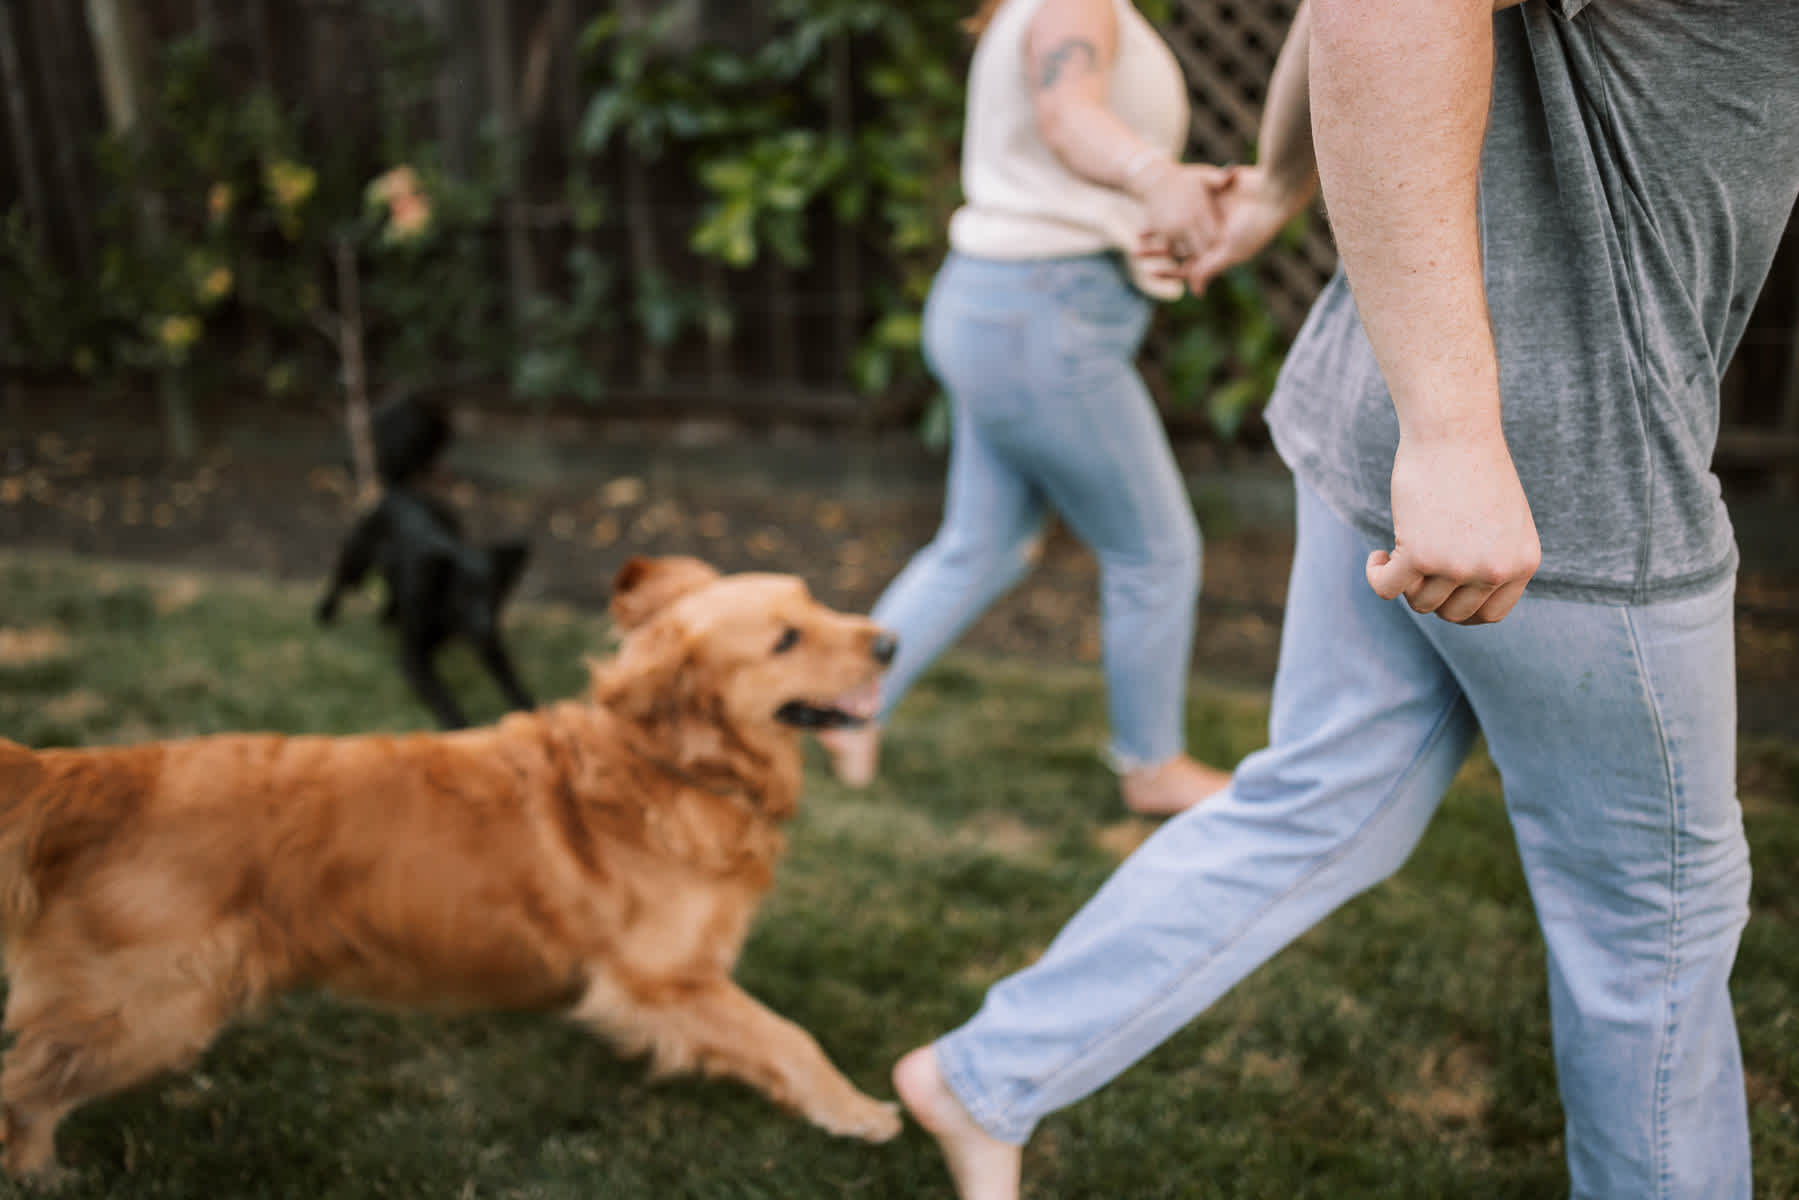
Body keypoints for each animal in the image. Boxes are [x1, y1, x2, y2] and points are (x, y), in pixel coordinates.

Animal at [316, 399, 532, 726]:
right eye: (463, 594)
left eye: (494, 595)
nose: (485, 627)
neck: (445, 614)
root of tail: (400, 490)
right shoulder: (413, 657)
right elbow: (442, 696)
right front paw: (459, 726)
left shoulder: (490, 645)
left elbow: (512, 681)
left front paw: (534, 712)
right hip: (357, 558)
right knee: (340, 581)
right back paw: (326, 612)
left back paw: (388, 615)